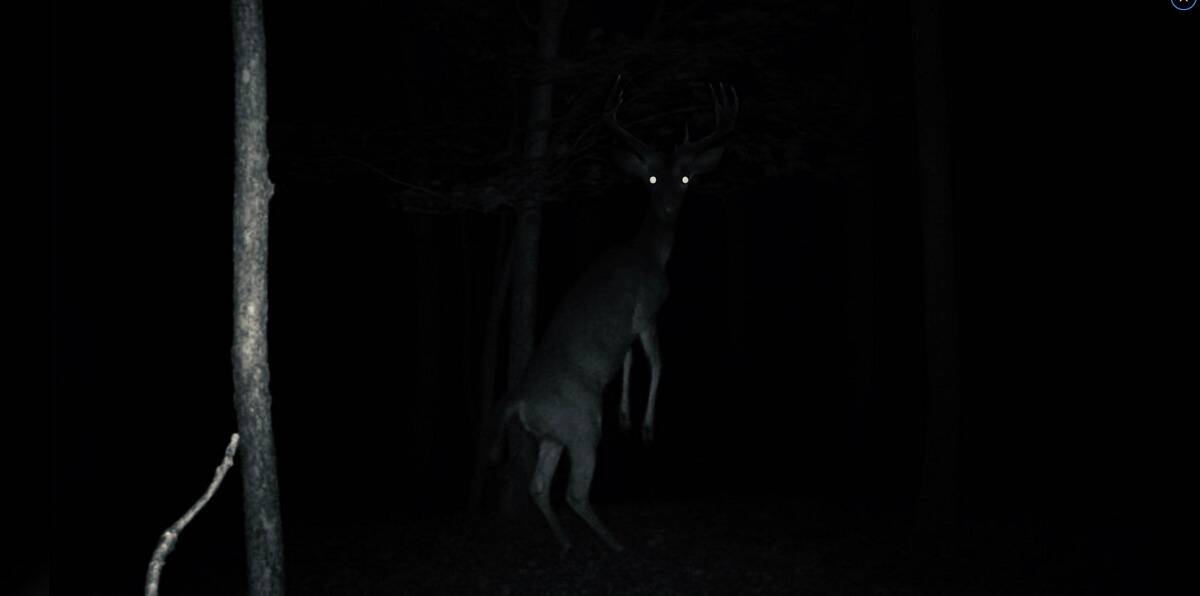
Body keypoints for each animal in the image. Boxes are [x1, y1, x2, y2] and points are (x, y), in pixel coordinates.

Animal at [490, 75, 738, 553]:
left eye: (684, 176)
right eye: (653, 177)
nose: (668, 206)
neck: (648, 254)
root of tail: (519, 402)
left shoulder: (628, 327)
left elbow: (626, 359)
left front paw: (626, 416)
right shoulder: (648, 305)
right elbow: (657, 359)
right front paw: (645, 428)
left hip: (552, 433)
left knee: (538, 486)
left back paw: (567, 545)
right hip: (581, 424)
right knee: (572, 491)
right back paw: (615, 544)